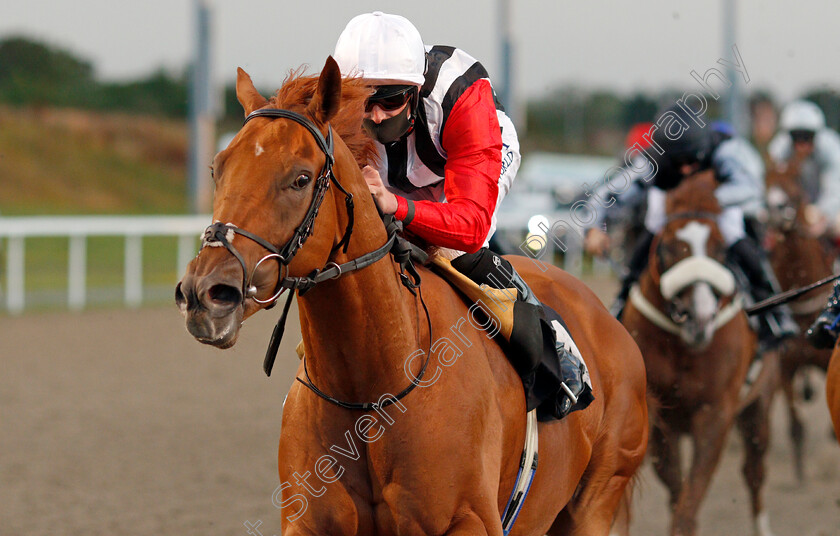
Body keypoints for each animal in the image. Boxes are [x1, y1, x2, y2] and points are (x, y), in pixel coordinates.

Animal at [176, 56, 648, 532]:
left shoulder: (471, 519)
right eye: (217, 168)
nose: (205, 293)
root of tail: (608, 320)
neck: (371, 391)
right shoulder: (305, 521)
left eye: (301, 178)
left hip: (597, 497)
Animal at [624, 173, 776, 536]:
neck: (684, 346)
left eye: (721, 249)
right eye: (666, 247)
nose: (700, 317)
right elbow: (674, 489)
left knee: (754, 472)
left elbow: (690, 499)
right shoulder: (658, 414)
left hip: (759, 405)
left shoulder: (716, 411)